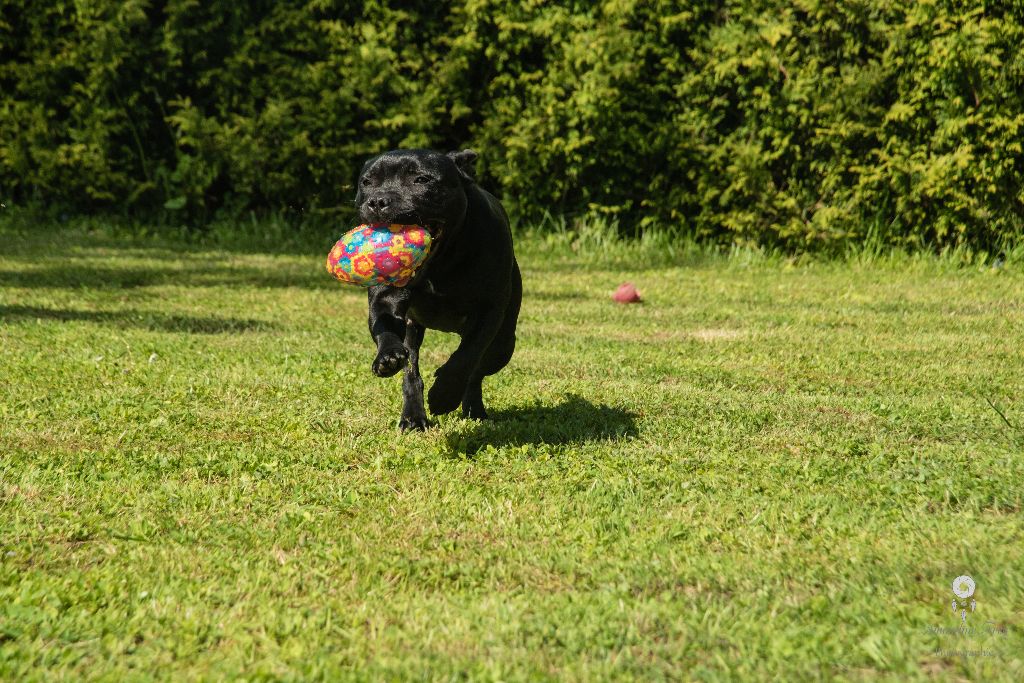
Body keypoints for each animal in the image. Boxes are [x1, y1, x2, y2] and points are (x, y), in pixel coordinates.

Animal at [356, 148, 524, 430]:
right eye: (367, 182)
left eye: (421, 180)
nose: (378, 201)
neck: (440, 263)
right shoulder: (385, 299)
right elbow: (385, 327)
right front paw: (387, 357)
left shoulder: (488, 312)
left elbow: (467, 356)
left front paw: (444, 395)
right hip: (413, 330)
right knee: (412, 373)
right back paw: (413, 417)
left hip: (503, 345)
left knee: (477, 370)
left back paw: (472, 407)